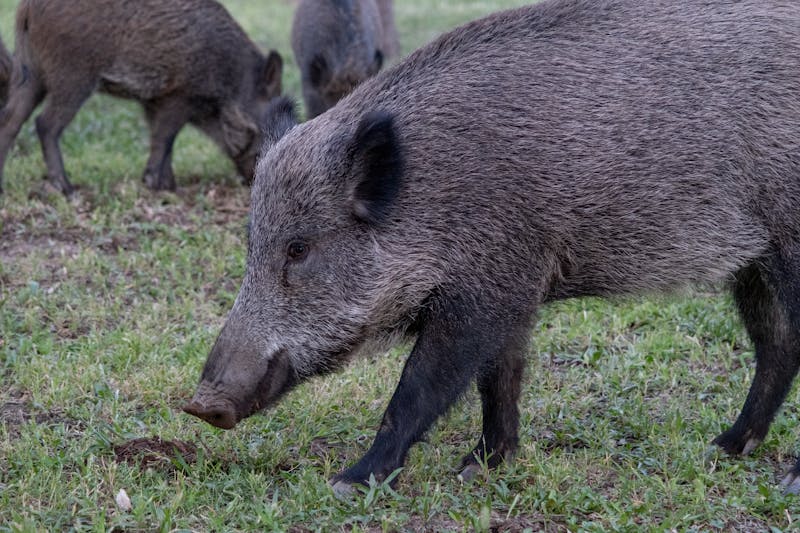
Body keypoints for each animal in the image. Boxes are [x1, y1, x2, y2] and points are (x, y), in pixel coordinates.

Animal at [0, 0, 283, 196]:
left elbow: (161, 139)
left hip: (30, 72)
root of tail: (28, 9)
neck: (232, 76)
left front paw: (168, 186)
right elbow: (165, 138)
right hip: (72, 77)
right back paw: (67, 189)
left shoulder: (154, 102)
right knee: (45, 124)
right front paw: (157, 186)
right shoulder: (179, 97)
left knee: (11, 120)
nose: (252, 181)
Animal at [184, 0, 800, 495]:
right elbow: (498, 379)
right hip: (754, 262)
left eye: (299, 249)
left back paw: (784, 478)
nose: (201, 403)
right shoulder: (512, 289)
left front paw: (349, 482)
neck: (429, 197)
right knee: (777, 346)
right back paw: (726, 446)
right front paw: (479, 466)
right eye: (251, 243)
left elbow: (422, 385)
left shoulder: (487, 289)